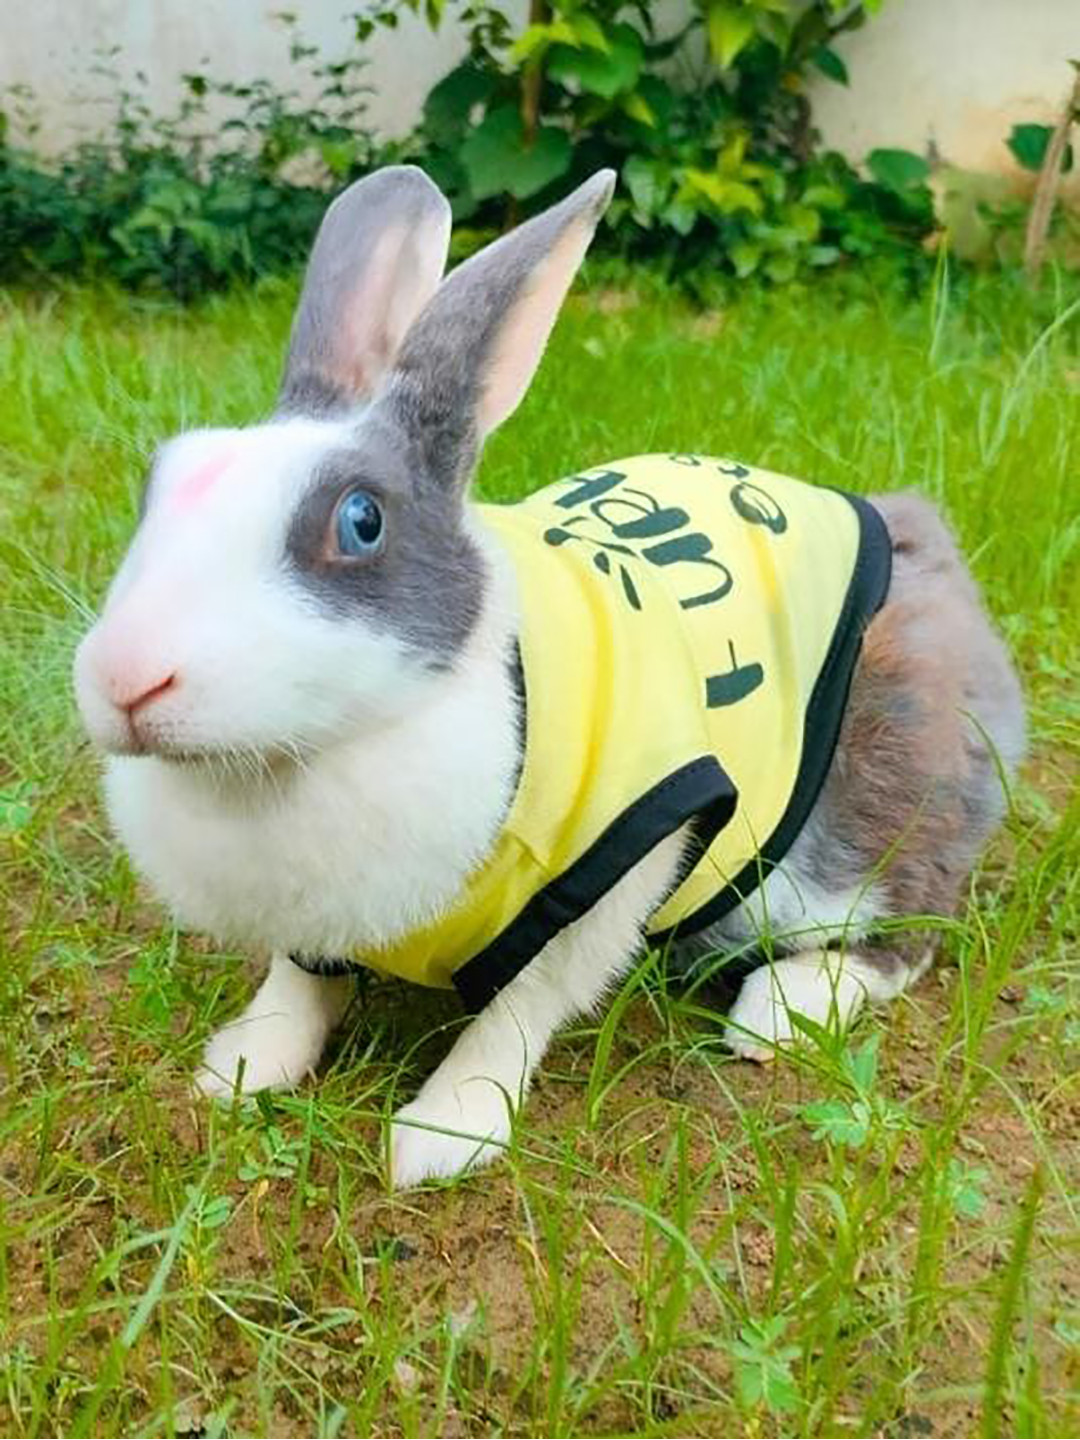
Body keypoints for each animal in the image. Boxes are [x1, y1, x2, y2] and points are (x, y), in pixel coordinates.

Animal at [73, 166, 1026, 1188]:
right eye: (159, 481)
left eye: (361, 521)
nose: (127, 681)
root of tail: (928, 554)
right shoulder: (310, 926)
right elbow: (299, 985)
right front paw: (240, 1069)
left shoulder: (620, 868)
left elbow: (515, 1016)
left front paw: (440, 1139)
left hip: (850, 827)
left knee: (910, 922)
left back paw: (779, 1011)